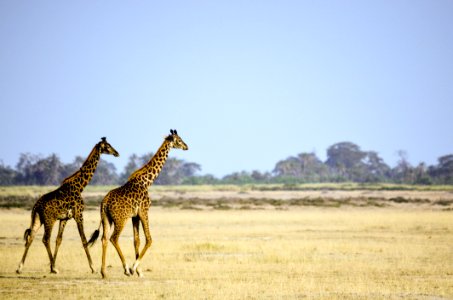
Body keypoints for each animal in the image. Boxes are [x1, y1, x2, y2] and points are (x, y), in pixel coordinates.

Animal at [15, 138, 119, 274]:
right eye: (107, 146)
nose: (117, 153)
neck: (80, 186)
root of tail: (36, 207)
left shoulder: (64, 218)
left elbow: (59, 240)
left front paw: (52, 265)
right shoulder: (79, 215)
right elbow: (83, 239)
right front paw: (93, 267)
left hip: (37, 218)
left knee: (31, 237)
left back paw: (20, 267)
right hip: (49, 220)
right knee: (45, 239)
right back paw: (54, 268)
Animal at [87, 129, 188, 278]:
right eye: (179, 140)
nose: (187, 147)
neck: (147, 181)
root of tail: (104, 203)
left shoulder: (135, 216)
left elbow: (136, 240)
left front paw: (139, 271)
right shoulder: (144, 211)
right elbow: (149, 239)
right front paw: (134, 268)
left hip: (106, 219)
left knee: (104, 239)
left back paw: (104, 272)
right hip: (120, 219)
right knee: (114, 238)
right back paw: (125, 269)